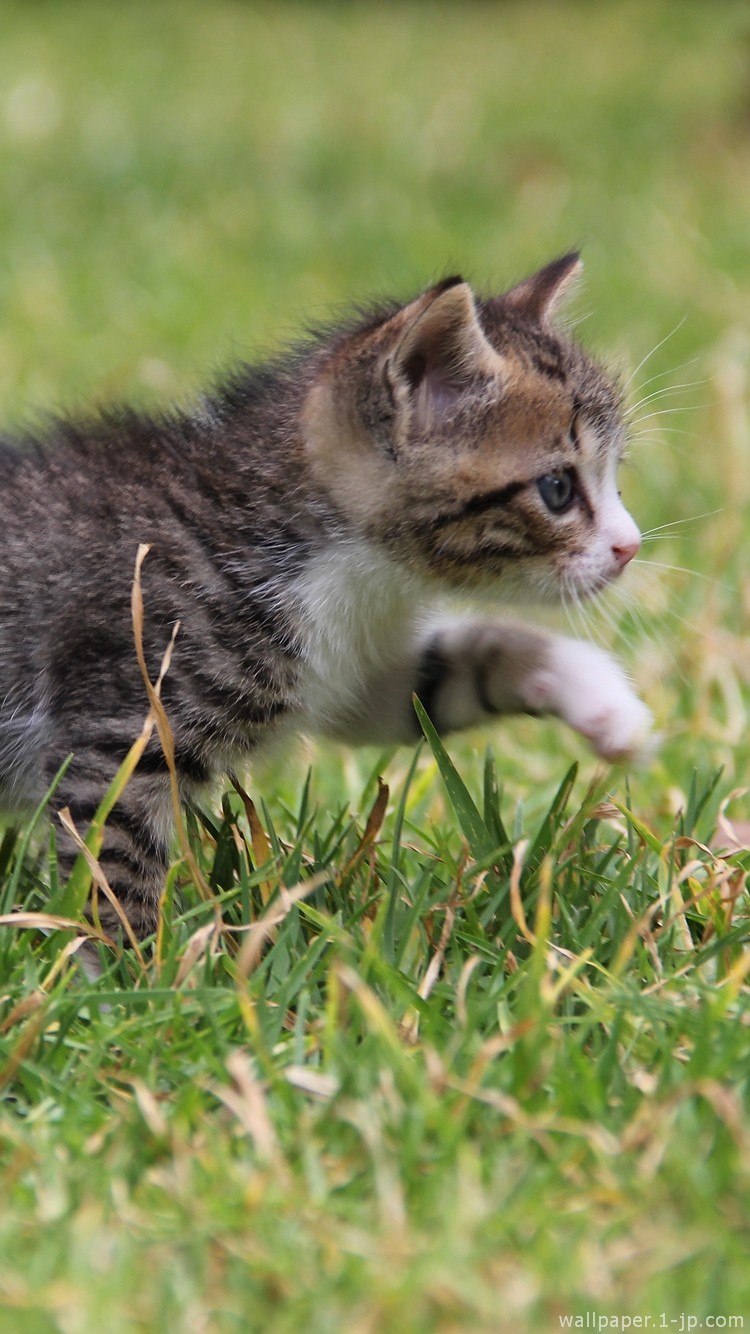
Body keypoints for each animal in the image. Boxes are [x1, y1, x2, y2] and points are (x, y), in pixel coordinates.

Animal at [0, 252, 648, 939]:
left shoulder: (349, 675)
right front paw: (134, 962)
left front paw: (603, 701)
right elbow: (112, 869)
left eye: (615, 477)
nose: (630, 546)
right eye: (558, 489)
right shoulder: (124, 720)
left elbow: (445, 677)